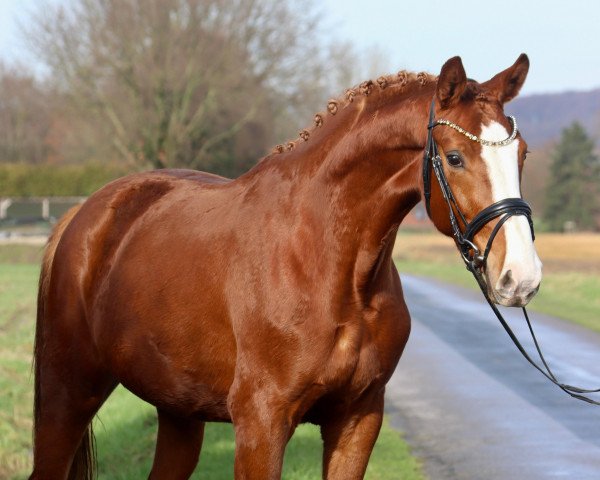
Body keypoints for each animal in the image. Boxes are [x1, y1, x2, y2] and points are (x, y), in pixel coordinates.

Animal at [30, 54, 540, 478]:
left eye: (522, 154)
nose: (522, 277)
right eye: (454, 157)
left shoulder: (358, 419)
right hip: (67, 395)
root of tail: (82, 215)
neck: (328, 265)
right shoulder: (261, 423)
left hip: (178, 412)